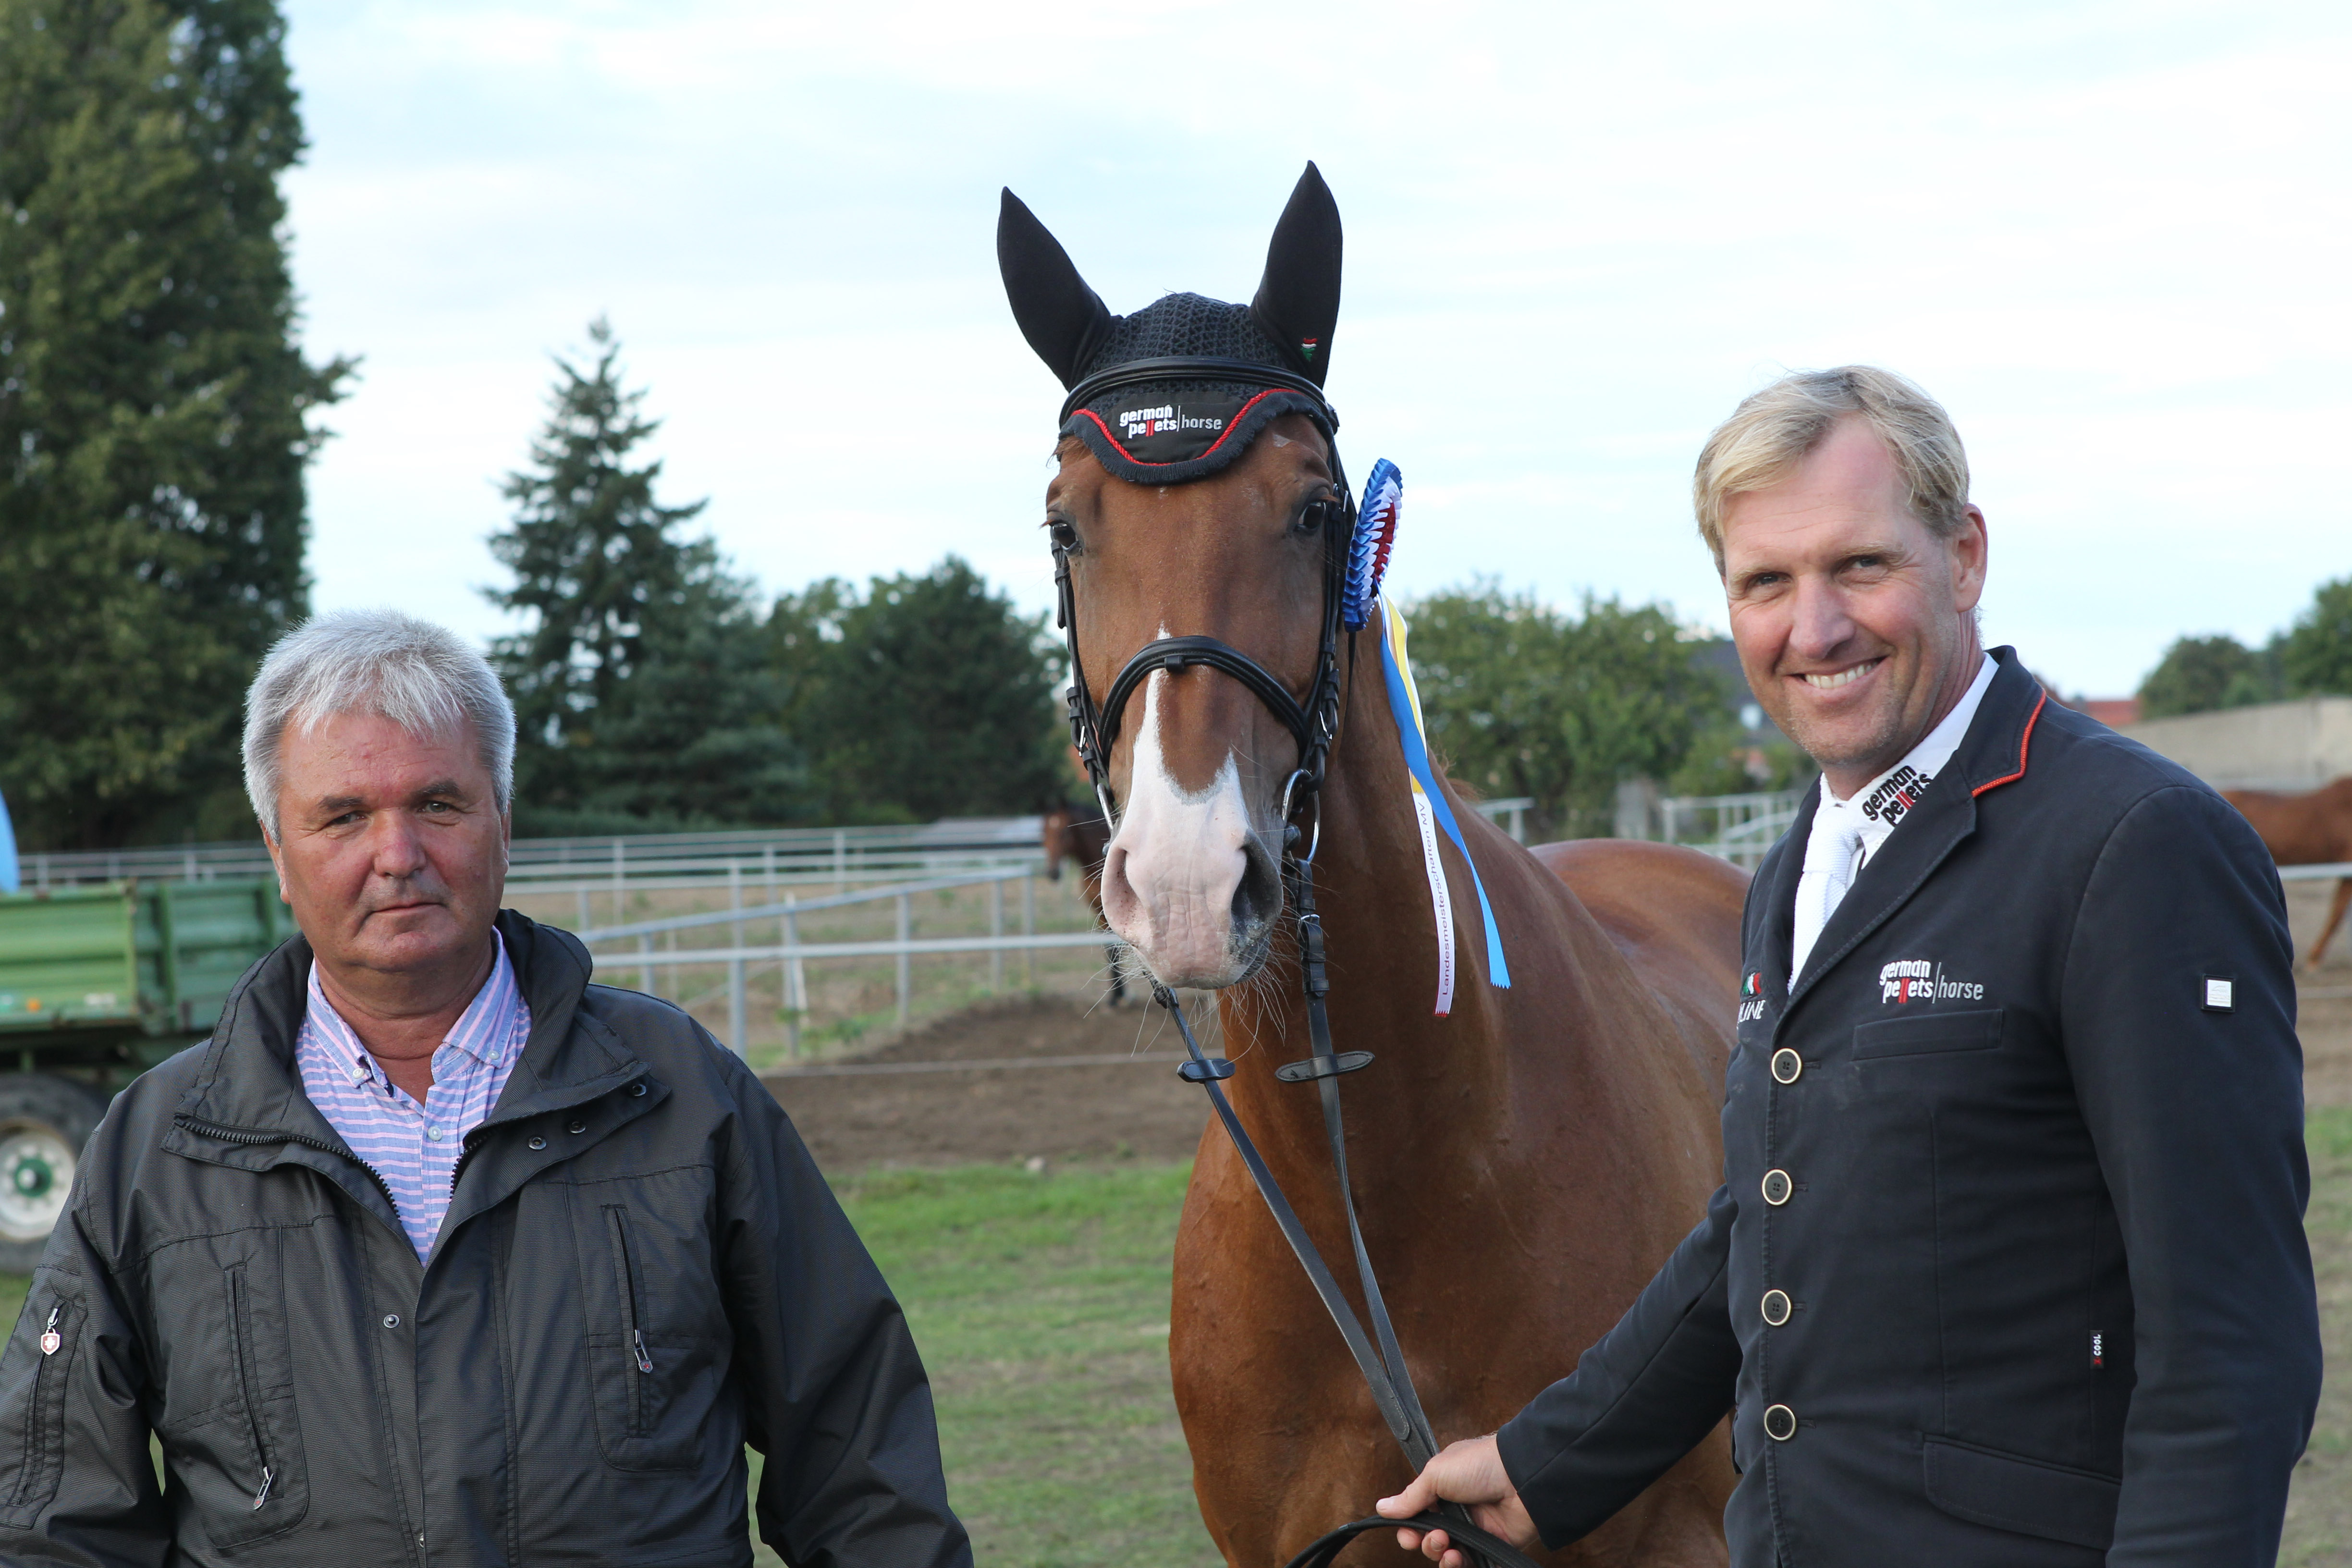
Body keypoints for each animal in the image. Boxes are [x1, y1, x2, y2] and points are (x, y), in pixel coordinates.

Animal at [1040, 808, 1129, 1006]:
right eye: (1043, 832)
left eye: (1064, 832)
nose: (1053, 873)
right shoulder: (1100, 914)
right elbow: (1111, 950)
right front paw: (1116, 995)